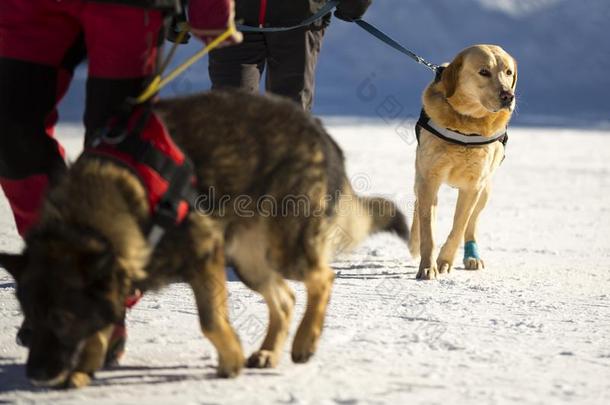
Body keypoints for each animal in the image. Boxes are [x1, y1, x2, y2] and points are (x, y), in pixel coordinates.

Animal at [1, 90, 408, 386]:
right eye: (30, 318)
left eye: (62, 318)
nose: (36, 375)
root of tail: (316, 126)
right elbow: (102, 323)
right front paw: (85, 369)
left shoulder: (204, 255)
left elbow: (210, 321)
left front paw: (230, 361)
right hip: (248, 261)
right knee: (286, 298)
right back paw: (269, 351)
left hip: (283, 250)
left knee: (323, 277)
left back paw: (305, 341)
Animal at [406, 43, 516, 278]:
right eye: (484, 71)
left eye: (508, 72)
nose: (508, 96)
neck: (466, 125)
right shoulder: (429, 179)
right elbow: (428, 230)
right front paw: (427, 266)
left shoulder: (473, 185)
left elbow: (459, 227)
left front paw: (445, 261)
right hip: (421, 177)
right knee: (419, 206)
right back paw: (414, 242)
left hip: (486, 190)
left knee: (471, 224)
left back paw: (472, 256)